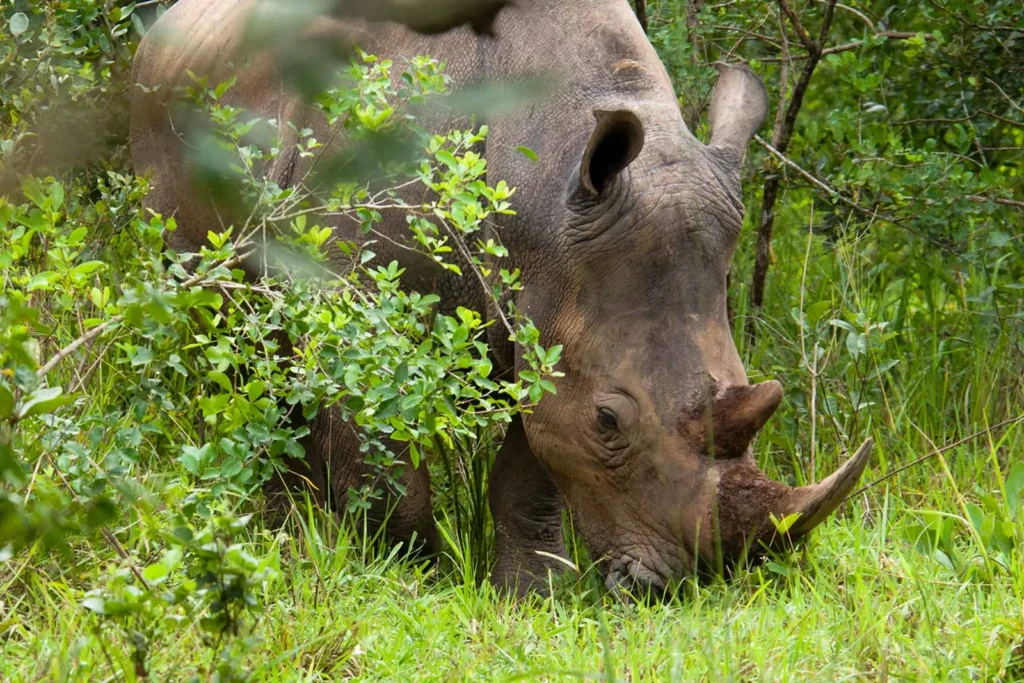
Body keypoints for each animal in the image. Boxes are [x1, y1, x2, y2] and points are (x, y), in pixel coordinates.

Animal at [131, 0, 872, 595]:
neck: (545, 178)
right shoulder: (354, 293)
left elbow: (530, 462)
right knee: (236, 344)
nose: (675, 587)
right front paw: (409, 577)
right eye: (609, 421)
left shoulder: (553, 305)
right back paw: (284, 534)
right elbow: (382, 449)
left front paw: (531, 594)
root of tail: (162, 30)